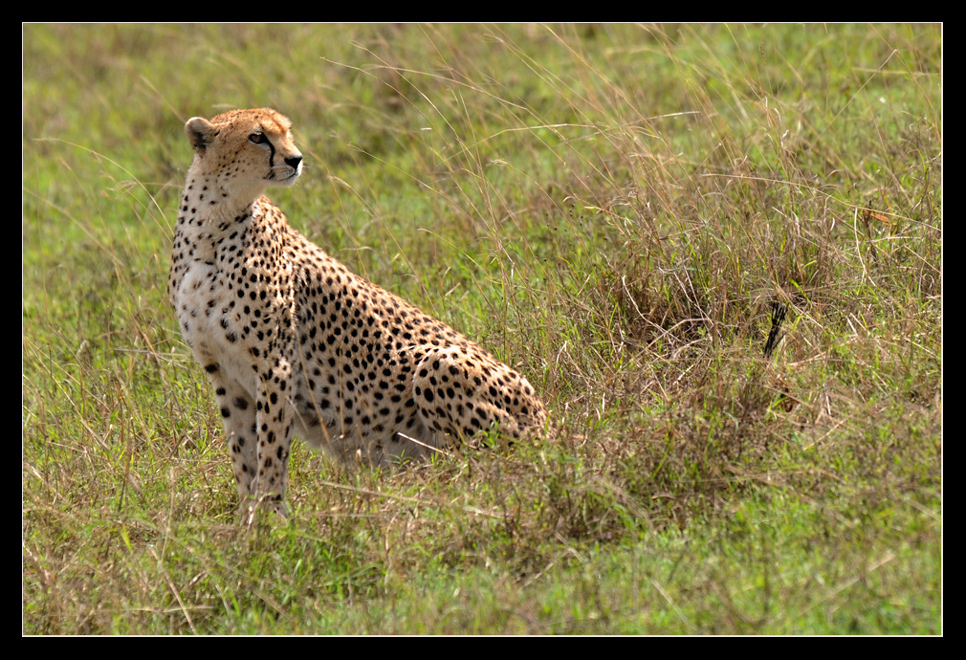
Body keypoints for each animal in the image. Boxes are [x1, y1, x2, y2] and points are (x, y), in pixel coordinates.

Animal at [166, 108, 544, 516]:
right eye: (257, 137)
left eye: (286, 132)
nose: (295, 159)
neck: (212, 223)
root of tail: (548, 420)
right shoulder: (224, 373)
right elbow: (243, 453)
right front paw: (247, 518)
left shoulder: (275, 365)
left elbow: (271, 448)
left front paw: (270, 518)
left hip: (438, 364)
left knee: (485, 465)